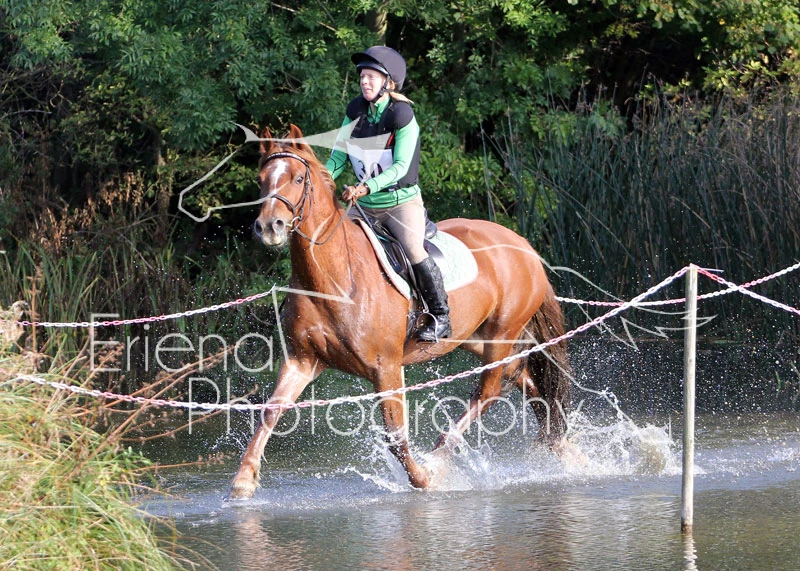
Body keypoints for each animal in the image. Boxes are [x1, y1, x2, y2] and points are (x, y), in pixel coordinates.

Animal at [228, 124, 572, 499]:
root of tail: (525, 246)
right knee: (526, 381)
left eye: (298, 178)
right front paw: (243, 481)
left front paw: (423, 478)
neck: (333, 278)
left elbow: (395, 434)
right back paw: (569, 452)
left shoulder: (386, 367)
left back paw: (438, 456)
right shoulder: (302, 360)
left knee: (490, 391)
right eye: (261, 179)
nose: (269, 227)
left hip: (501, 333)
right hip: (477, 338)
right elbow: (270, 411)